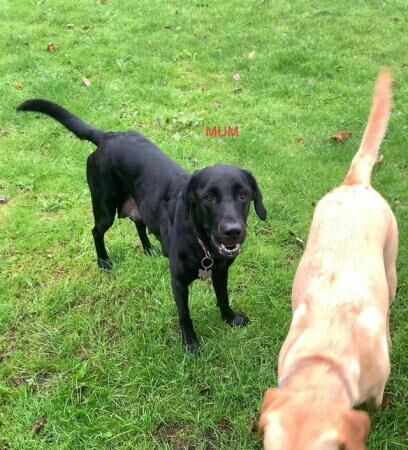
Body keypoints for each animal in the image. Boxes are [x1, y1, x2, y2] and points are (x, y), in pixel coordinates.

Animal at [16, 100, 268, 354]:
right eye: (208, 197)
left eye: (244, 195)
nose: (233, 231)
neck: (203, 244)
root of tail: (108, 136)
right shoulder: (178, 281)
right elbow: (185, 316)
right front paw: (190, 343)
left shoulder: (221, 271)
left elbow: (223, 297)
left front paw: (230, 318)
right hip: (104, 208)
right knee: (96, 231)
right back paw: (103, 261)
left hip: (138, 205)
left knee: (138, 224)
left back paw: (149, 249)